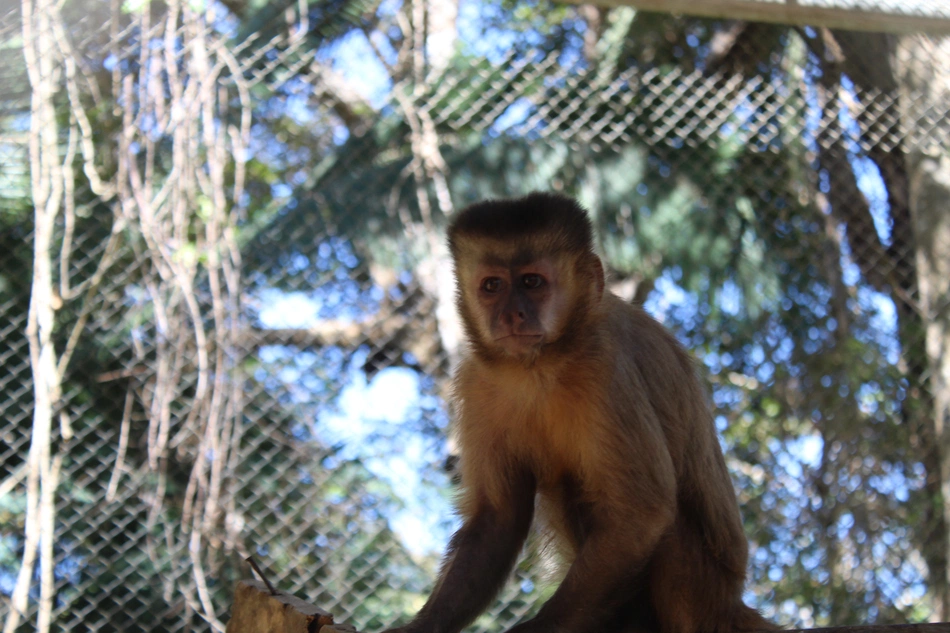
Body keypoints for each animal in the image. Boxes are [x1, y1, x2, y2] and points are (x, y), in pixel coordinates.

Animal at [383, 192, 775, 633]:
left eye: (532, 282)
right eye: (492, 286)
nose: (511, 314)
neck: (538, 367)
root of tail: (730, 604)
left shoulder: (605, 368)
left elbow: (642, 513)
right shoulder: (476, 380)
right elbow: (498, 518)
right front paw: (423, 626)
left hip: (704, 597)